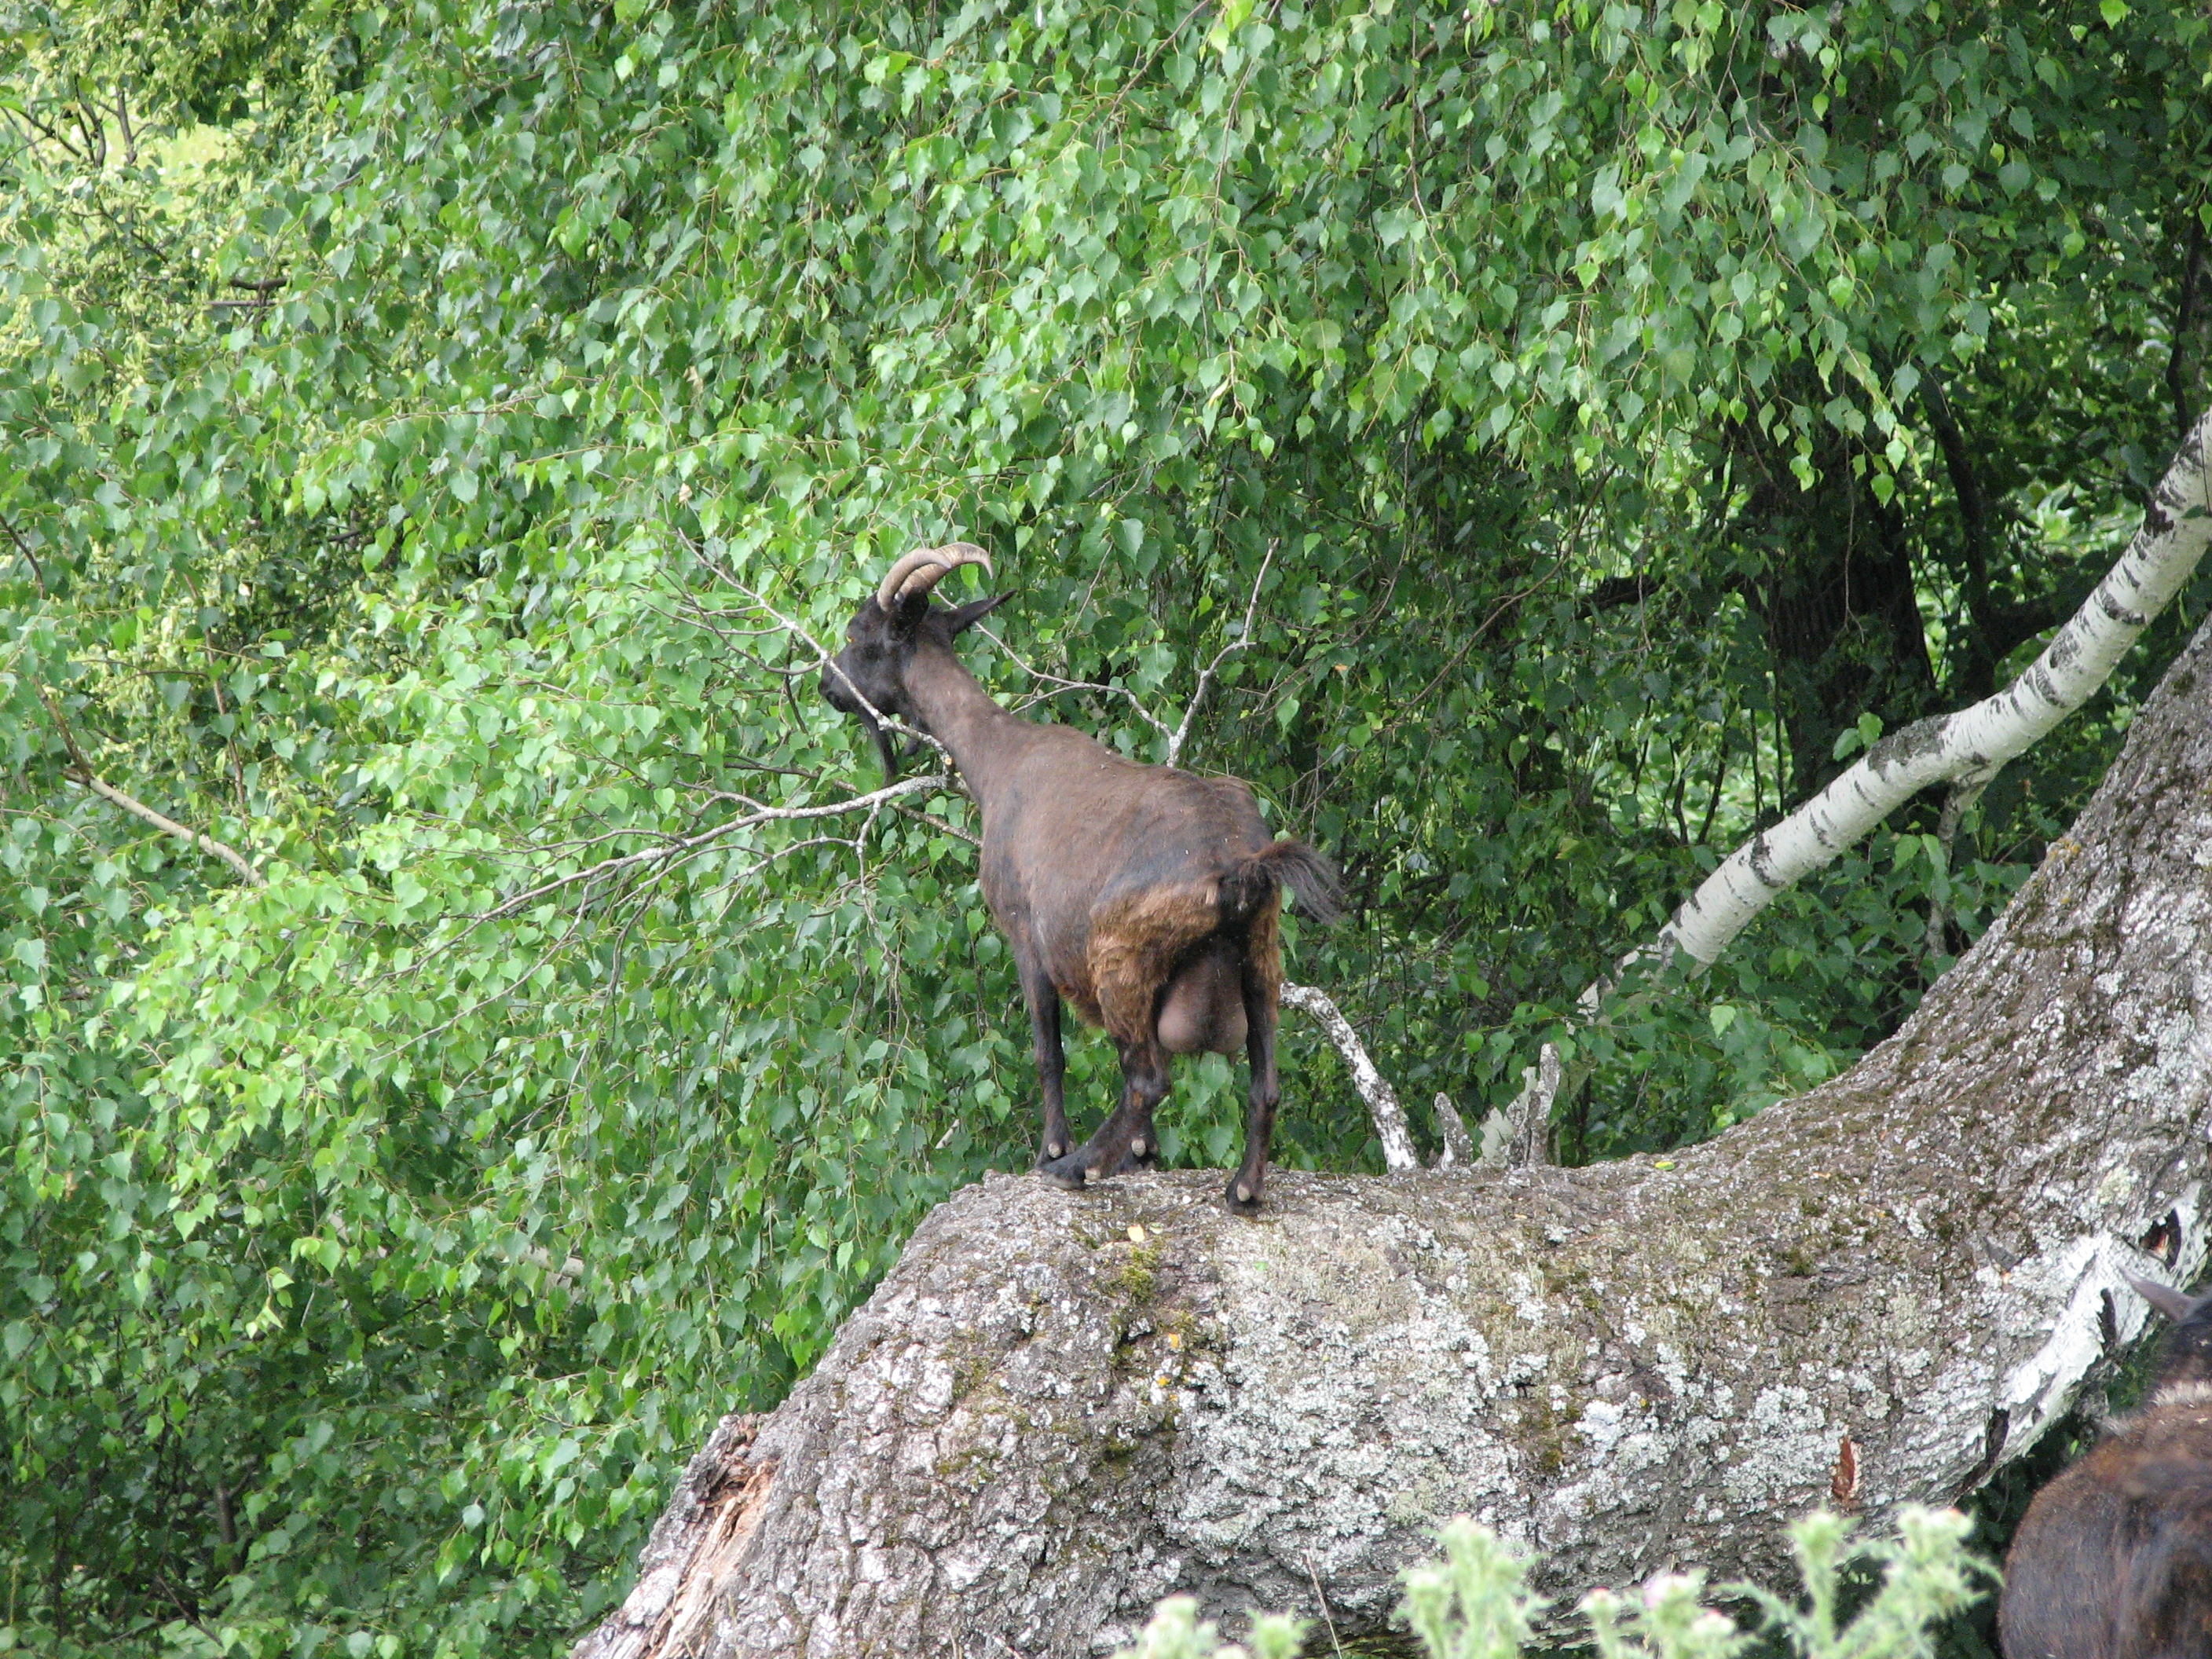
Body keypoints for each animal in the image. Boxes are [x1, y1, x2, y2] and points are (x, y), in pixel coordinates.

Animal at [822, 553, 1335, 1212]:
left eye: (860, 635)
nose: (826, 684)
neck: (998, 760)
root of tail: (1238, 865)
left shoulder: (1024, 934)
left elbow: (1049, 1053)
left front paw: (1055, 1150)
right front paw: (1141, 1155)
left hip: (1121, 956)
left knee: (1148, 1076)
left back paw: (1078, 1167)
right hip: (1260, 954)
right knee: (1262, 1080)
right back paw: (1243, 1187)